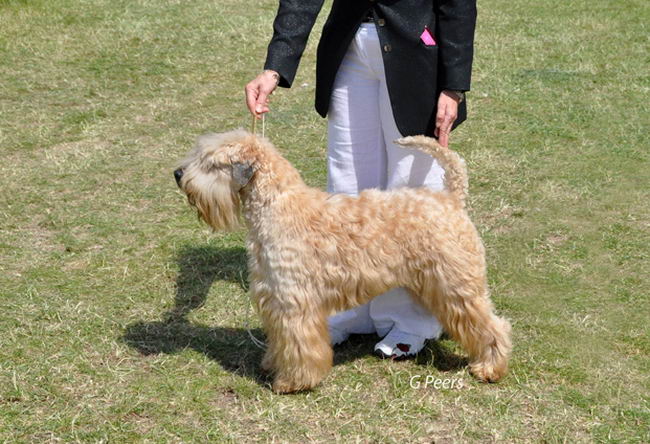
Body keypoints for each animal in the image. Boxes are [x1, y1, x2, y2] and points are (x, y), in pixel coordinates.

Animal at [175, 130, 508, 394]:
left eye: (210, 163)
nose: (178, 174)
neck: (277, 206)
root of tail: (451, 199)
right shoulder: (273, 295)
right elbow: (280, 340)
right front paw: (272, 364)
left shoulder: (293, 301)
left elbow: (298, 344)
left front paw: (292, 382)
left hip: (456, 285)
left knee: (492, 325)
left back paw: (489, 368)